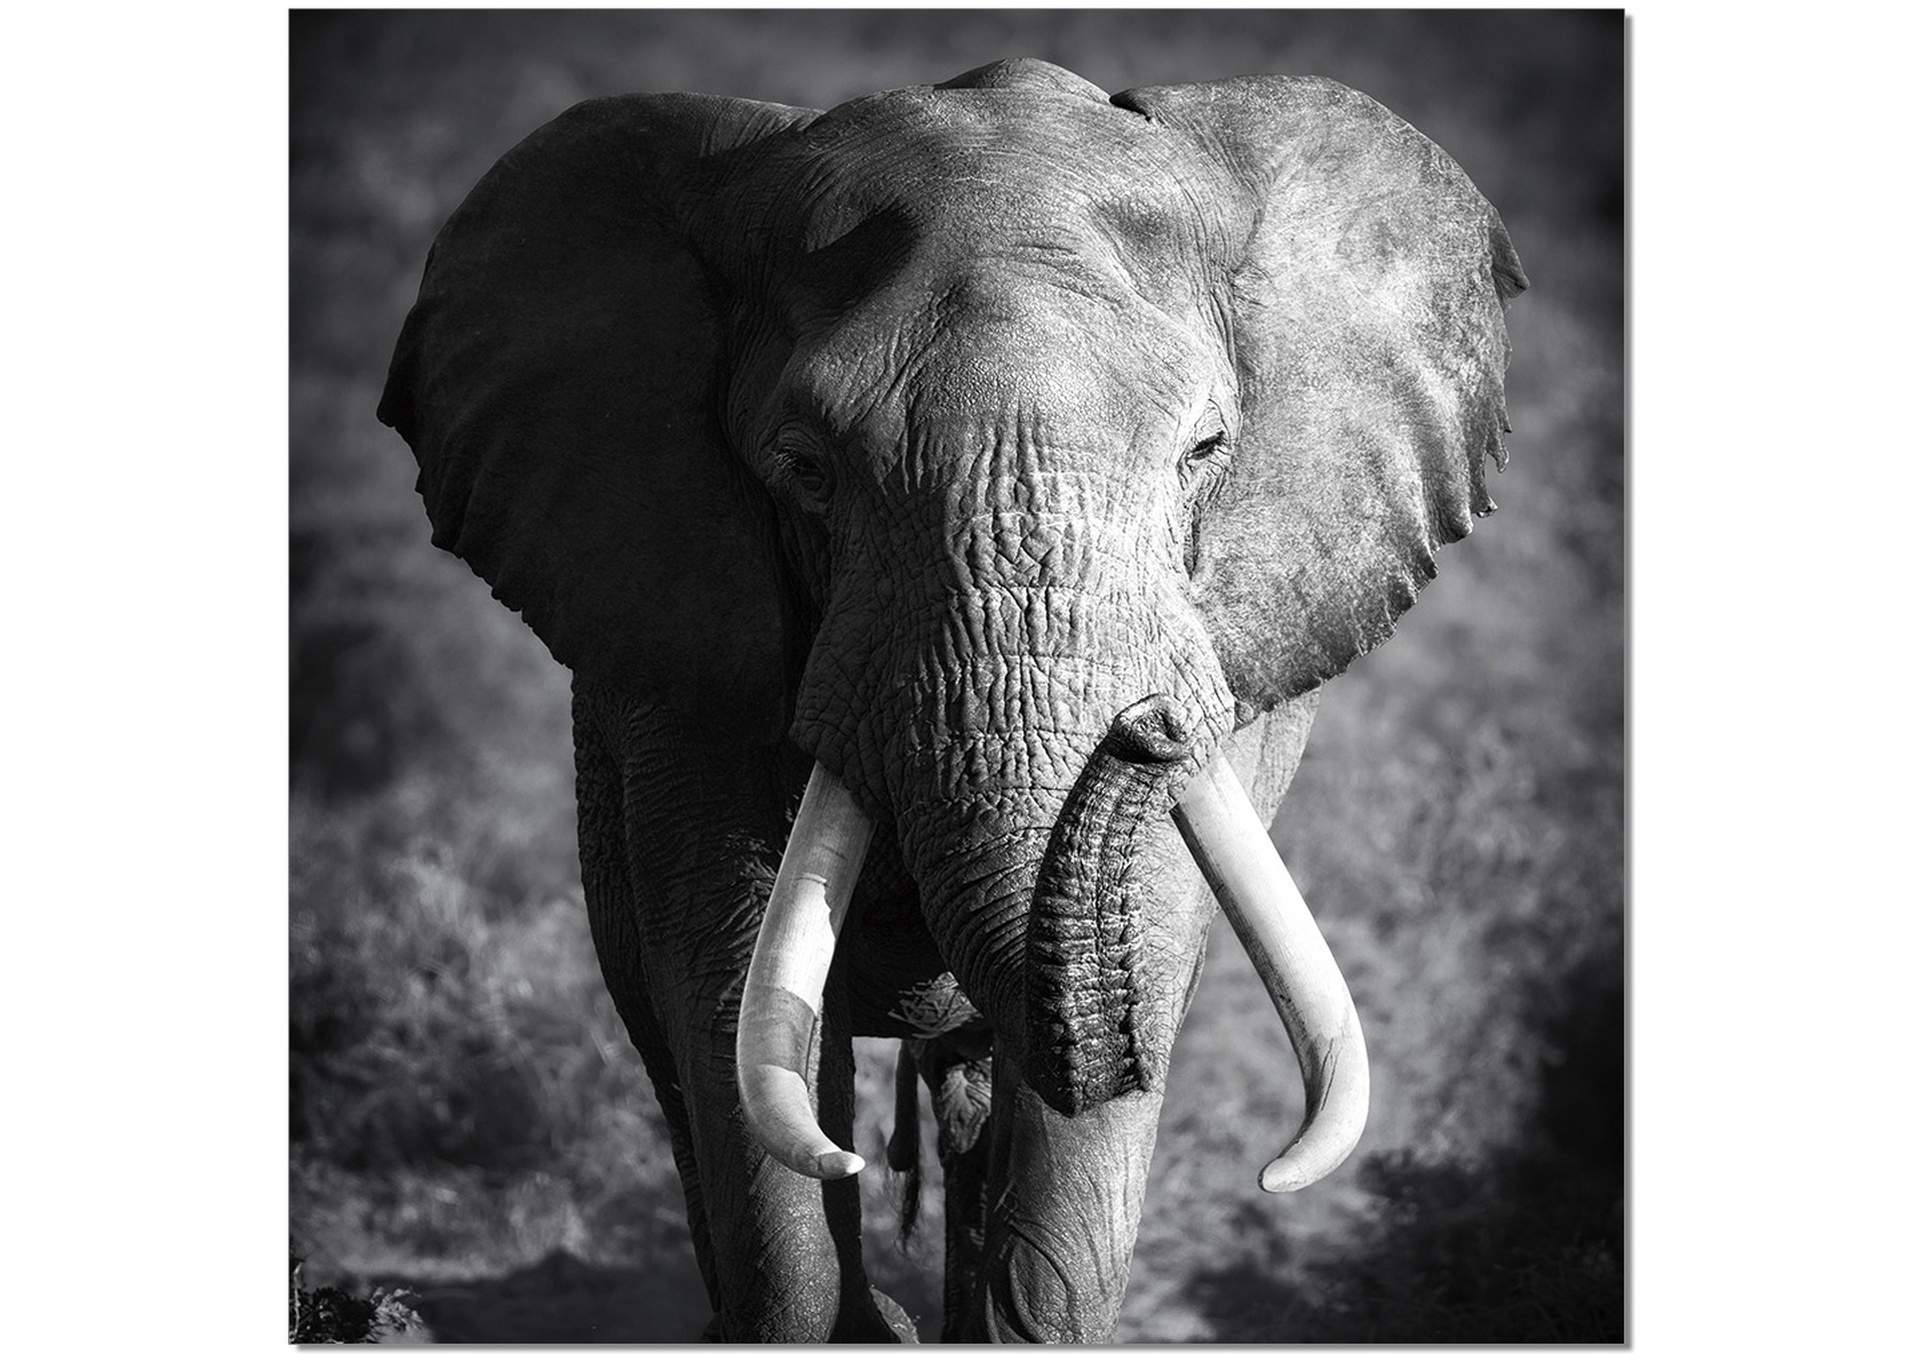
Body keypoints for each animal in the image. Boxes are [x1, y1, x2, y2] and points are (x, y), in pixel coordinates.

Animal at [378, 57, 1525, 1343]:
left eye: (1205, 450)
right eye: (806, 469)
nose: (1149, 726)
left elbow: (1142, 956)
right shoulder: (678, 655)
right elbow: (733, 983)